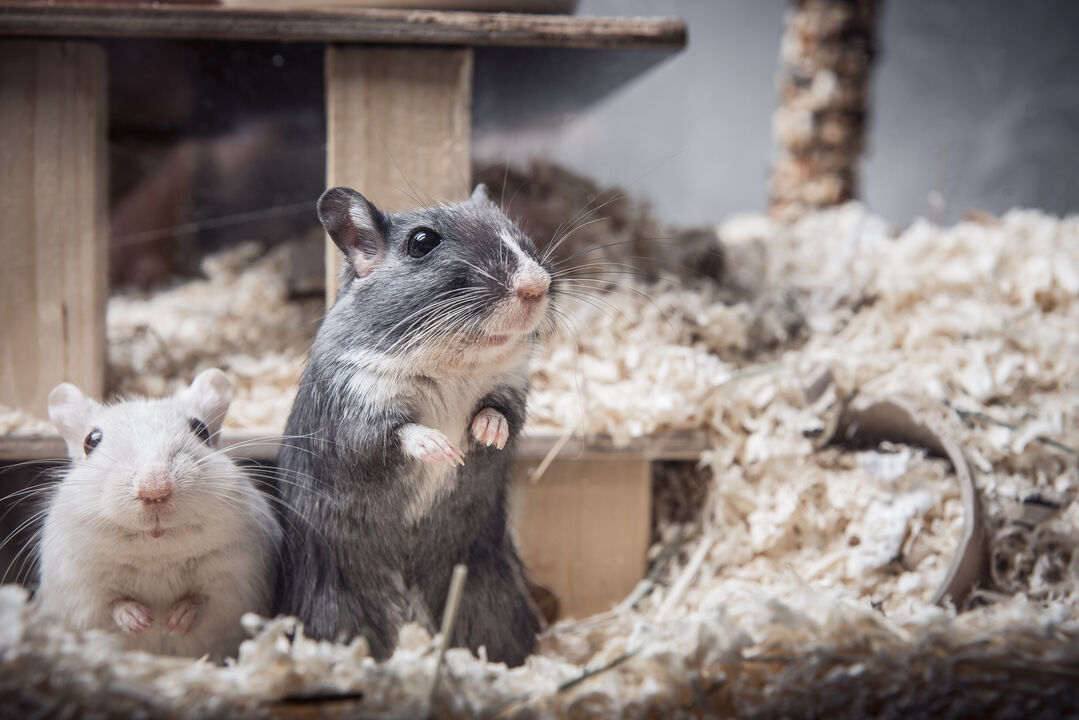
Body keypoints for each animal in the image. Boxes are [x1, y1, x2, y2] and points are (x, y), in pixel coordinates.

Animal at [36, 369, 280, 660]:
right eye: (91, 441)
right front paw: (142, 621)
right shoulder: (80, 582)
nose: (154, 489)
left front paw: (174, 621)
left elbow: (204, 600)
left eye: (201, 429)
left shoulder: (235, 573)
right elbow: (113, 604)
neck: (156, 553)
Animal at [275, 184, 555, 667]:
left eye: (517, 230)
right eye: (422, 242)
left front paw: (484, 435)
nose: (537, 285)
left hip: (489, 601)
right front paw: (443, 449)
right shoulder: (356, 403)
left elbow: (502, 414)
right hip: (333, 608)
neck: (452, 362)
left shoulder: (511, 387)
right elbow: (395, 433)